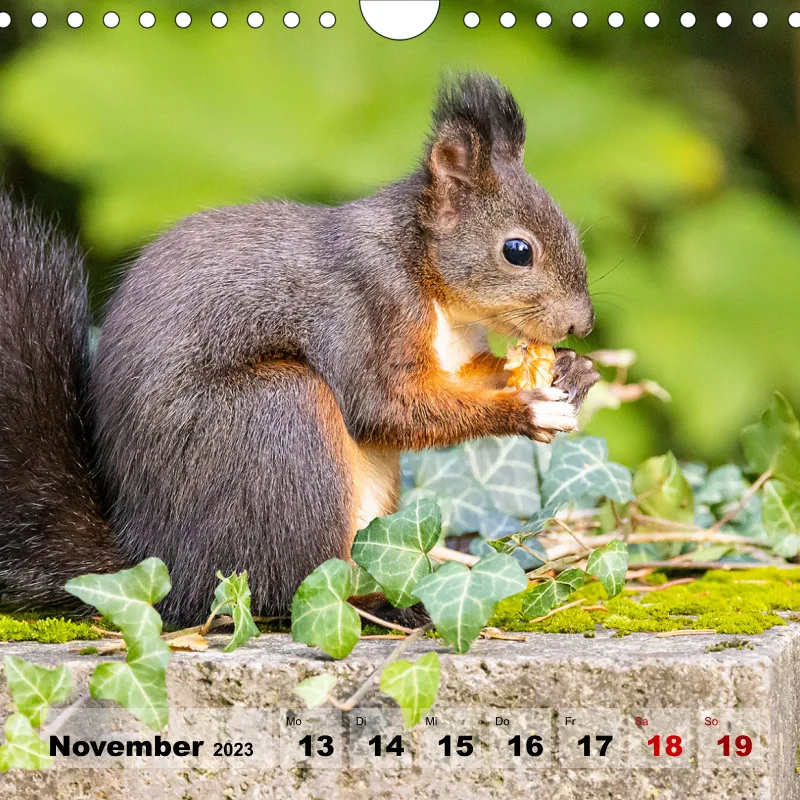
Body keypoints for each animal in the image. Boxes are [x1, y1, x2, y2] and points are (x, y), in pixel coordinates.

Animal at [0, 74, 599, 626]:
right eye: (517, 250)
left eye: (573, 232)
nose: (583, 325)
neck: (430, 278)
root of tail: (153, 560)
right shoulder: (365, 308)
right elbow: (381, 407)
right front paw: (526, 408)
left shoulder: (453, 349)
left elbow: (460, 379)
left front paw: (574, 371)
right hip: (280, 423)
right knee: (290, 590)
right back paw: (379, 606)